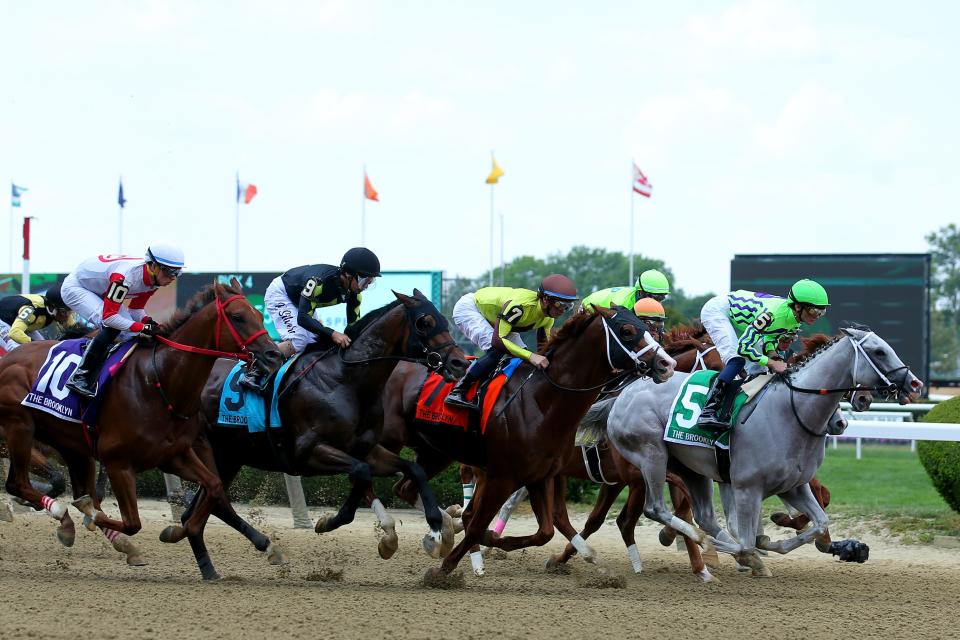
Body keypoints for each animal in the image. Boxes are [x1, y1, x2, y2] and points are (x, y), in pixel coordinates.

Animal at [0, 282, 282, 564]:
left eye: (259, 316)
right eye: (237, 317)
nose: (274, 354)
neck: (160, 381)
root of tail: (8, 360)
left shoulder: (174, 455)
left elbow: (213, 486)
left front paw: (175, 532)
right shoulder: (118, 462)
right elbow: (130, 522)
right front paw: (91, 516)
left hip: (71, 445)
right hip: (20, 427)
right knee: (17, 483)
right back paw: (60, 513)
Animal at [386, 304, 680, 580]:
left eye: (646, 327)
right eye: (627, 331)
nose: (667, 364)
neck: (541, 401)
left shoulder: (540, 476)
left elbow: (545, 532)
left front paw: (492, 540)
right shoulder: (503, 477)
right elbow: (478, 525)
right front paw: (443, 571)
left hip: (436, 452)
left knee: (405, 489)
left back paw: (443, 531)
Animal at [608, 328, 924, 576]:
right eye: (879, 351)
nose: (915, 384)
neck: (791, 413)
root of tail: (624, 394)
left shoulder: (793, 485)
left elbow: (820, 522)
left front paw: (771, 544)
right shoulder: (747, 487)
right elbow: (746, 538)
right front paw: (751, 553)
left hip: (692, 468)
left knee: (705, 516)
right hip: (652, 454)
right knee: (657, 509)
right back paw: (704, 543)